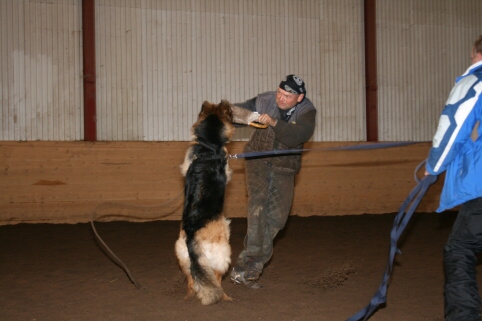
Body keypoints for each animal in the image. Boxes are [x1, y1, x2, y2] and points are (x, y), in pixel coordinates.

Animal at [175, 99, 235, 302]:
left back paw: (188, 297)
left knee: (193, 282)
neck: (208, 146)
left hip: (184, 258)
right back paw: (225, 297)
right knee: (216, 279)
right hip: (222, 252)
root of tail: (192, 234)